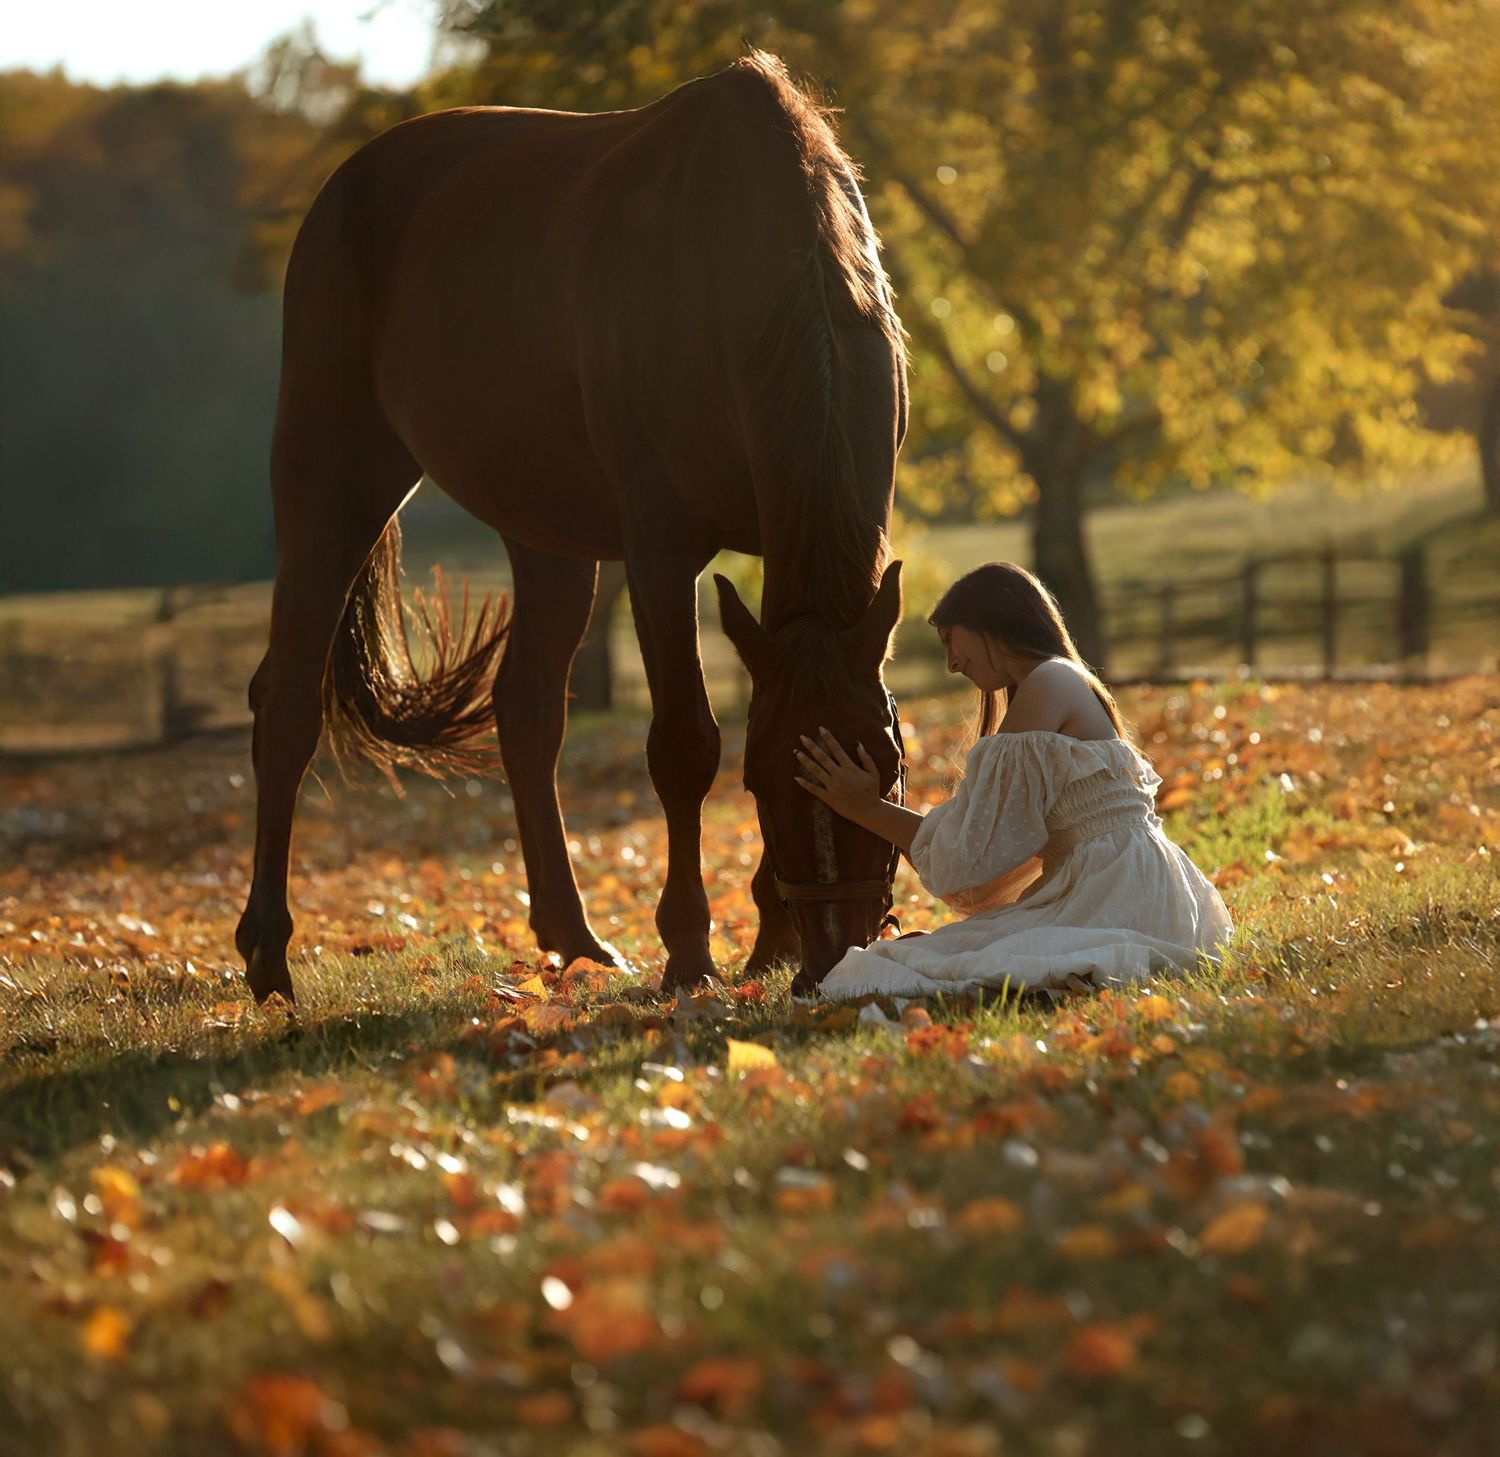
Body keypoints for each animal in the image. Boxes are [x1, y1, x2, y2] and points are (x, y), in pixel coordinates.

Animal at [235, 51, 909, 1003]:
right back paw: (268, 952)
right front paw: (690, 951)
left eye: (884, 764)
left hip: (547, 540)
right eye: (761, 781)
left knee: (526, 714)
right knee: (289, 702)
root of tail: (346, 188)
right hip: (331, 491)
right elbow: (684, 745)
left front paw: (766, 940)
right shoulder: (660, 551)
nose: (833, 956)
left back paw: (575, 936)